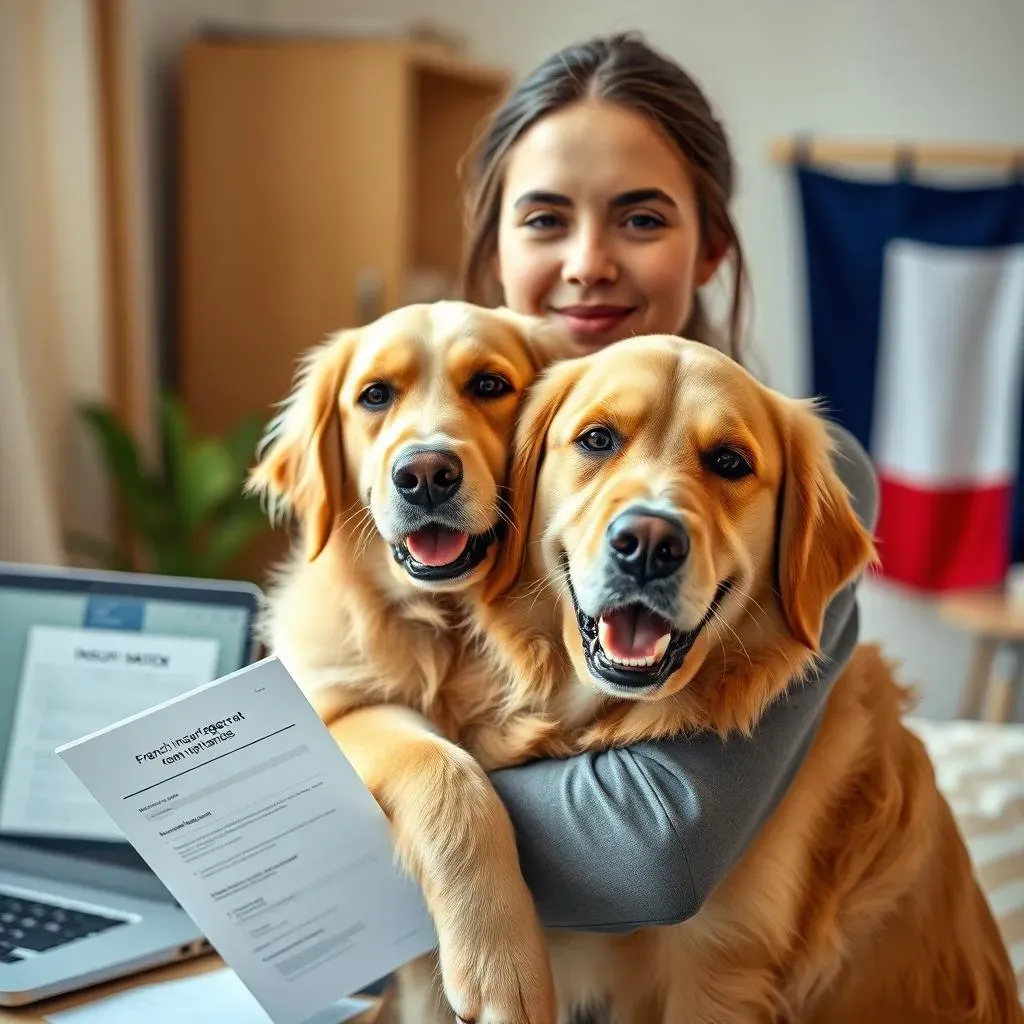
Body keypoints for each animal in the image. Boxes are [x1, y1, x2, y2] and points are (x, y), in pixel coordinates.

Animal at [242, 299, 573, 1024]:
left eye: (489, 384)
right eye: (374, 395)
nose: (425, 475)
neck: (440, 626)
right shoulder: (336, 712)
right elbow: (445, 765)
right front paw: (500, 961)